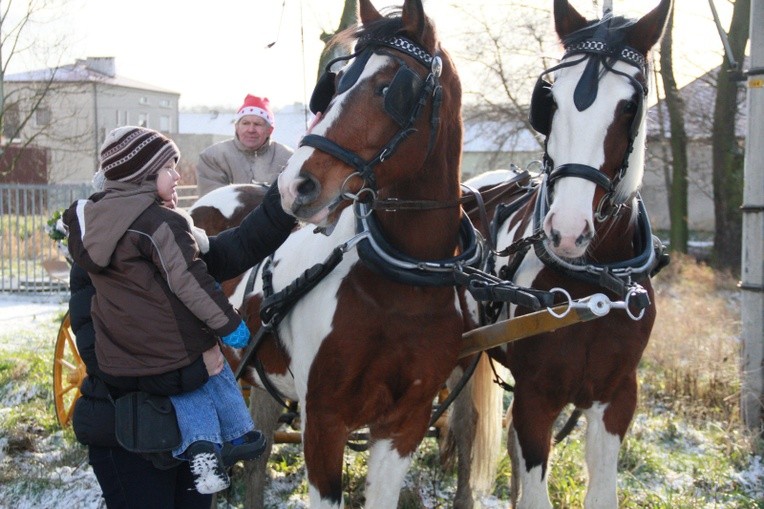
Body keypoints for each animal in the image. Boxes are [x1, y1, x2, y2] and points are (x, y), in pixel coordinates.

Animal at [230, 0, 498, 506]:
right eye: (335, 84)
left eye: (388, 87)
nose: (294, 186)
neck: (401, 285)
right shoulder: (323, 422)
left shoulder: (405, 423)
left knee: (257, 456)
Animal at [486, 1, 672, 506]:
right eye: (551, 100)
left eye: (629, 107)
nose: (567, 232)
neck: (596, 283)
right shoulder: (536, 396)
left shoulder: (617, 395)